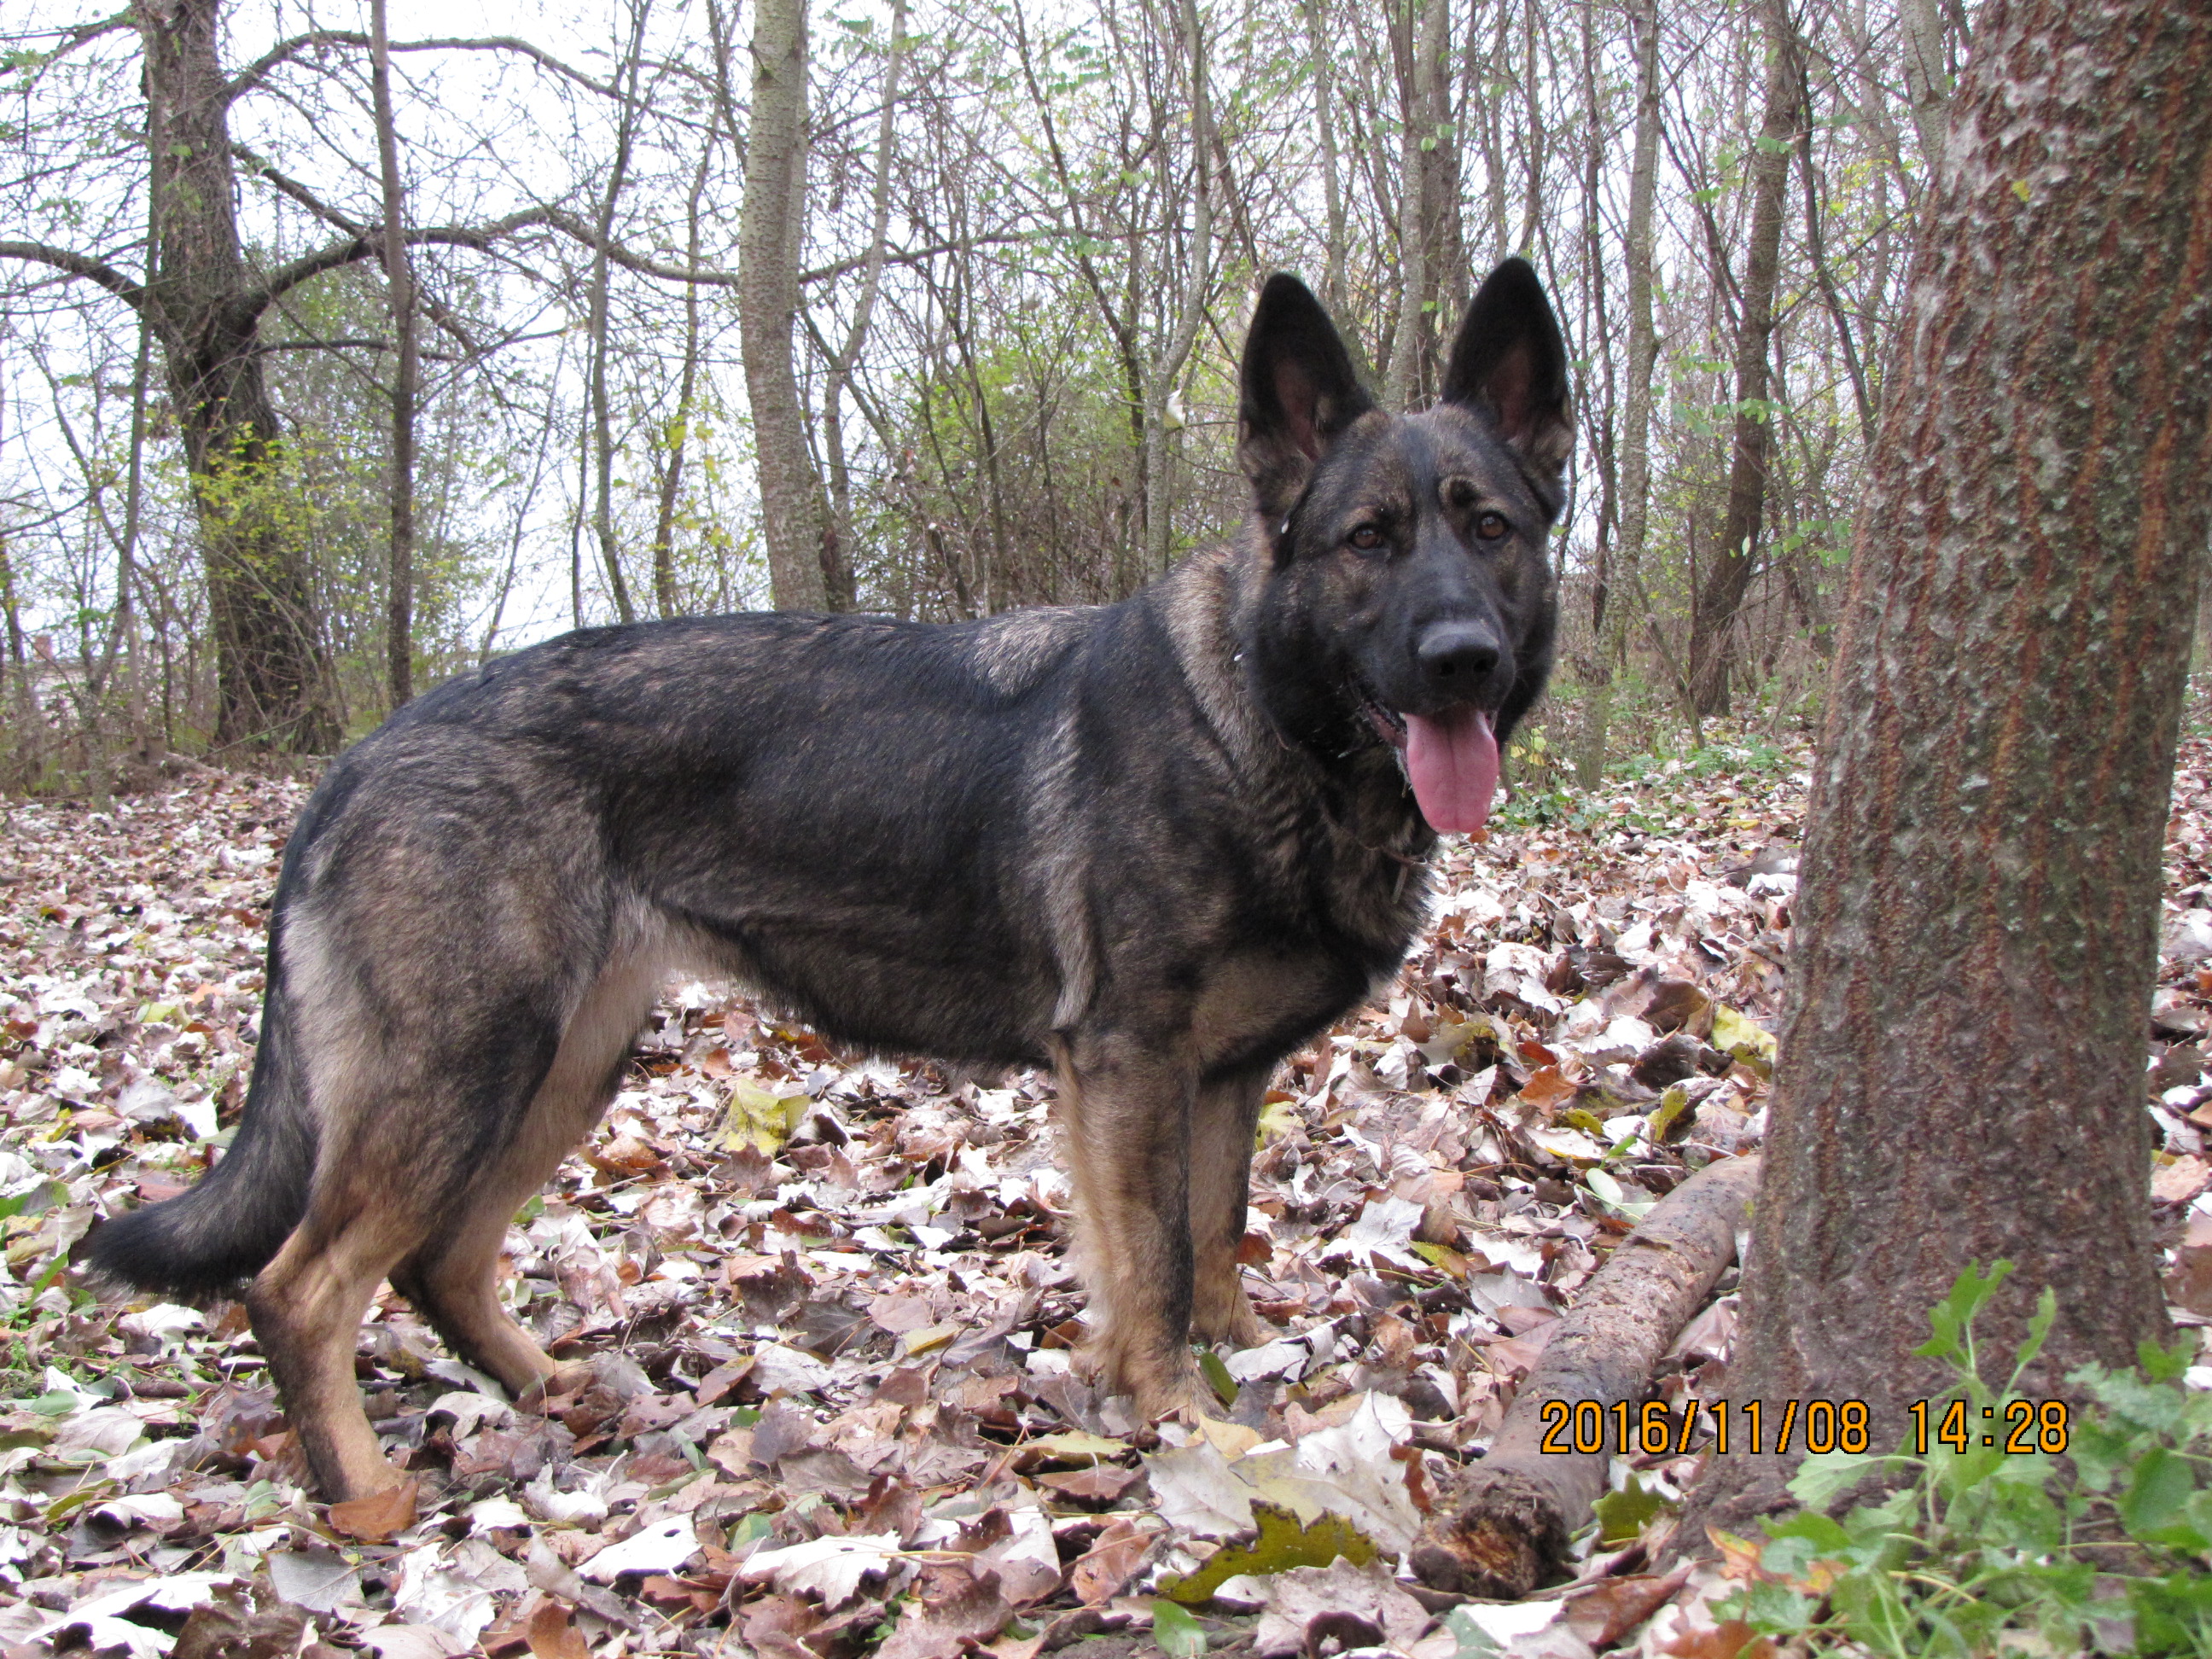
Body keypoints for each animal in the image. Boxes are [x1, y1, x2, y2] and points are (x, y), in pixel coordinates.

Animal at [86, 259, 1575, 1504]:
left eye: (1492, 529)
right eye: (1368, 540)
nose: (1463, 660)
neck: (1262, 722)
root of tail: (359, 758)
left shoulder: (1218, 1081)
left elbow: (1215, 1241)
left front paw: (1241, 1361)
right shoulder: (1129, 1066)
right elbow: (1149, 1265)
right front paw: (1175, 1417)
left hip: (563, 1066)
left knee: (434, 1263)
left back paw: (554, 1395)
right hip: (461, 1073)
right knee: (300, 1288)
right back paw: (363, 1499)